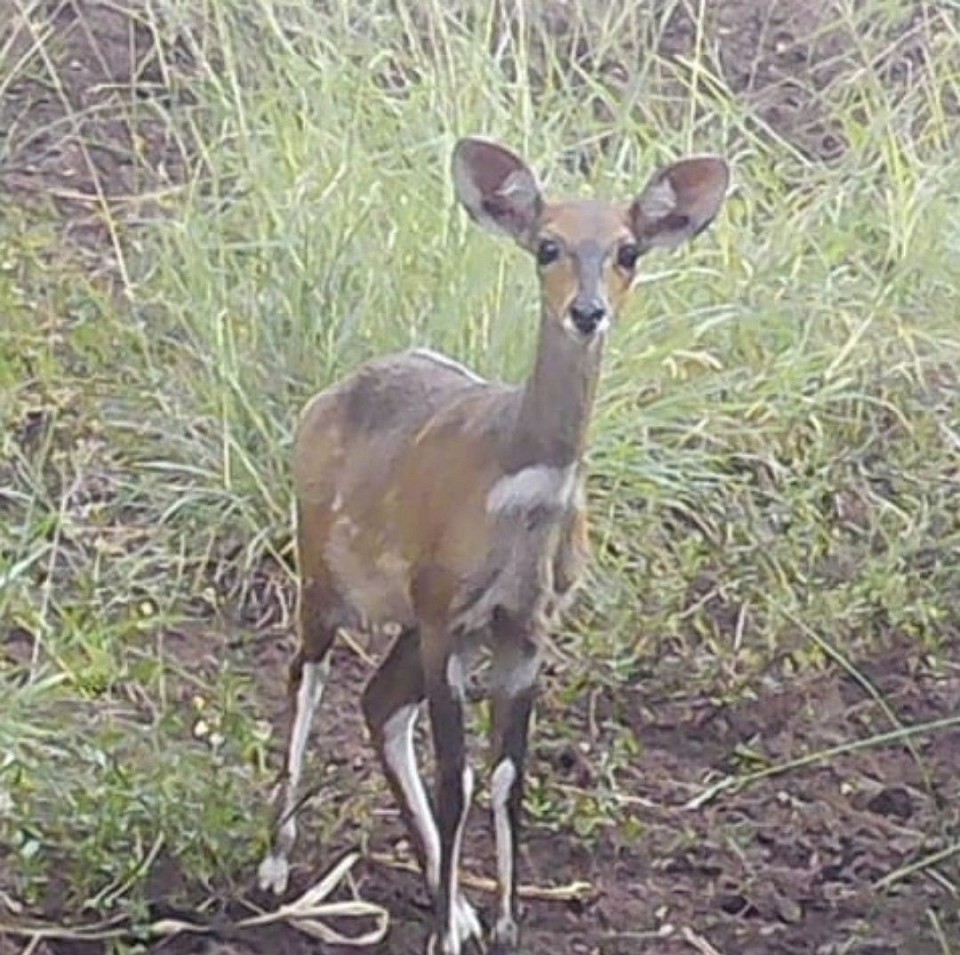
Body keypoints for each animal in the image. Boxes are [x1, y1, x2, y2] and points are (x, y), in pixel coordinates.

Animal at [255, 136, 728, 955]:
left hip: (413, 618)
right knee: (307, 676)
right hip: (325, 570)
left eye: (629, 250)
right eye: (547, 246)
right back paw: (278, 864)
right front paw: (444, 934)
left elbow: (508, 776)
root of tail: (325, 398)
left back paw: (456, 904)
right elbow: (460, 778)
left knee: (380, 702)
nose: (587, 311)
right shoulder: (447, 610)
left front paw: (501, 924)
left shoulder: (523, 625)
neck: (521, 491)